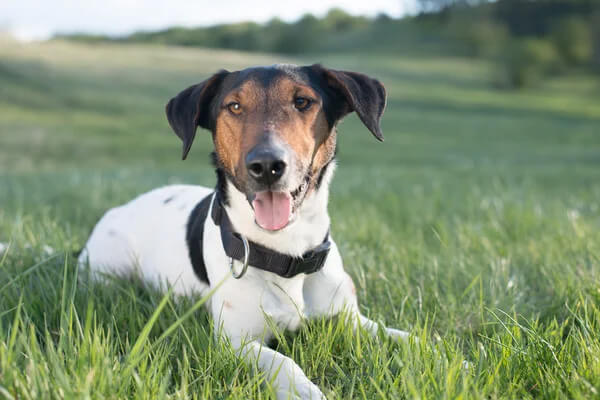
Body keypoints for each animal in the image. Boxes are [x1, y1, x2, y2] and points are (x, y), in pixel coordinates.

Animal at [78, 64, 408, 398]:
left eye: (302, 101)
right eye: (234, 106)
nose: (266, 165)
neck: (286, 253)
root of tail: (119, 209)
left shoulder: (349, 319)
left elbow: (395, 334)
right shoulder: (235, 341)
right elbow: (283, 361)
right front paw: (303, 390)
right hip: (110, 269)